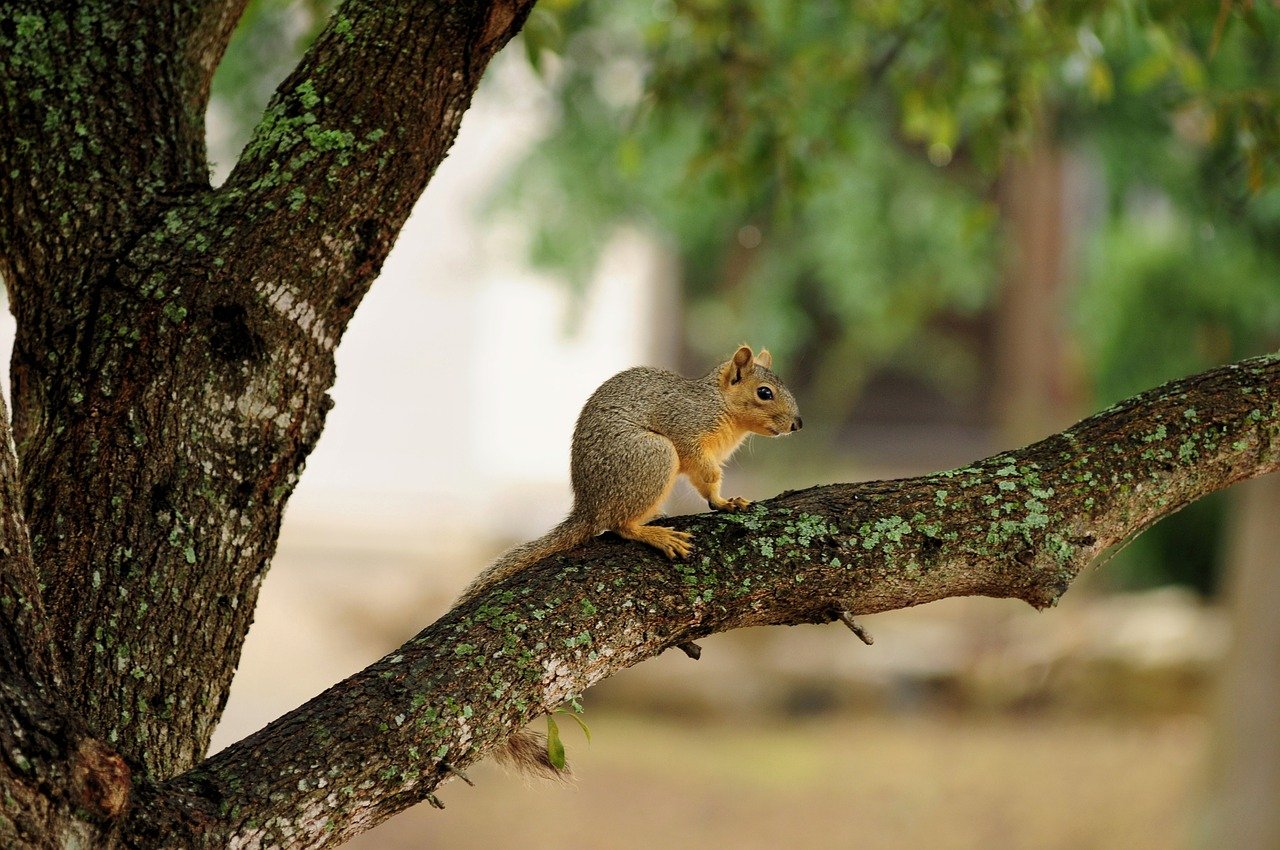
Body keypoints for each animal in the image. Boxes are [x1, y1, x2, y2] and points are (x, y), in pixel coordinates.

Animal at [457, 344, 802, 777]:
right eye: (764, 393)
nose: (798, 423)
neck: (718, 404)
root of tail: (589, 508)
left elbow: (709, 488)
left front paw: (727, 502)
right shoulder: (686, 432)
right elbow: (704, 471)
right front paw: (720, 495)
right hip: (653, 457)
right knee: (619, 525)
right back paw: (655, 534)